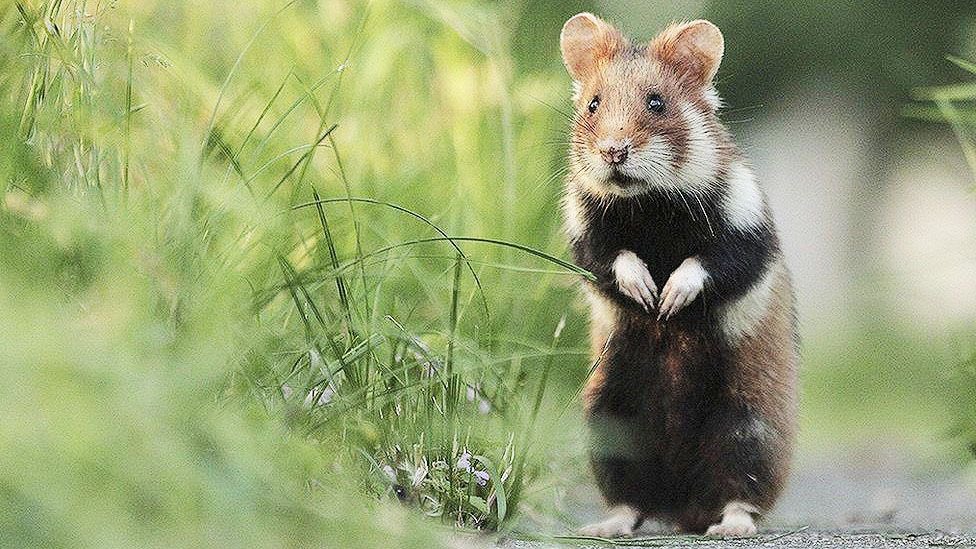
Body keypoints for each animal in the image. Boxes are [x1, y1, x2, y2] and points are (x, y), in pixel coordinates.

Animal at [560, 11, 796, 536]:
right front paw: (647, 293)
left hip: (749, 423)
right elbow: (611, 259)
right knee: (630, 497)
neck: (649, 203)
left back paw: (730, 526)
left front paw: (667, 300)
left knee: (742, 487)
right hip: (608, 421)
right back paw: (604, 526)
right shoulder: (583, 236)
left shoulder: (747, 231)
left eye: (657, 102)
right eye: (593, 103)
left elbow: (709, 264)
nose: (614, 151)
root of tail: (683, 505)